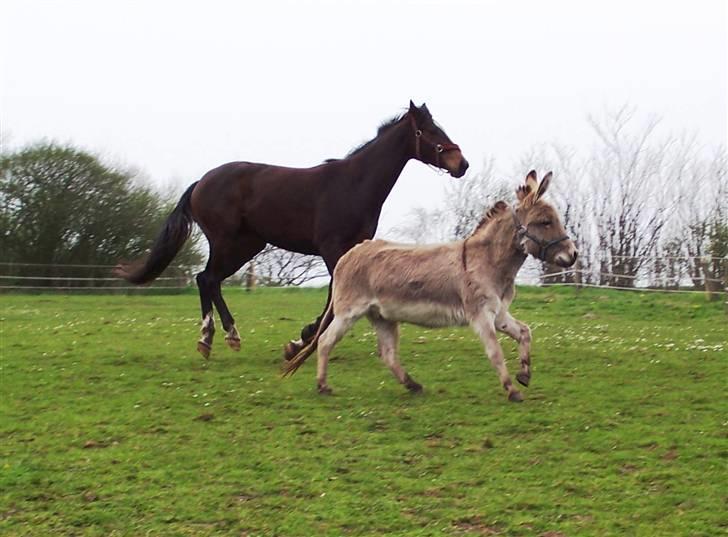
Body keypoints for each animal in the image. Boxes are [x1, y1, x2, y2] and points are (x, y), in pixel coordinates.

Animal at [114, 102, 466, 358]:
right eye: (427, 130)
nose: (461, 164)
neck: (353, 185)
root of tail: (201, 182)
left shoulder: (351, 249)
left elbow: (334, 296)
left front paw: (302, 338)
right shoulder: (331, 247)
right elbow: (333, 296)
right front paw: (301, 341)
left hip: (247, 246)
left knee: (209, 280)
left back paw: (220, 338)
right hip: (227, 242)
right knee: (206, 279)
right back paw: (214, 337)